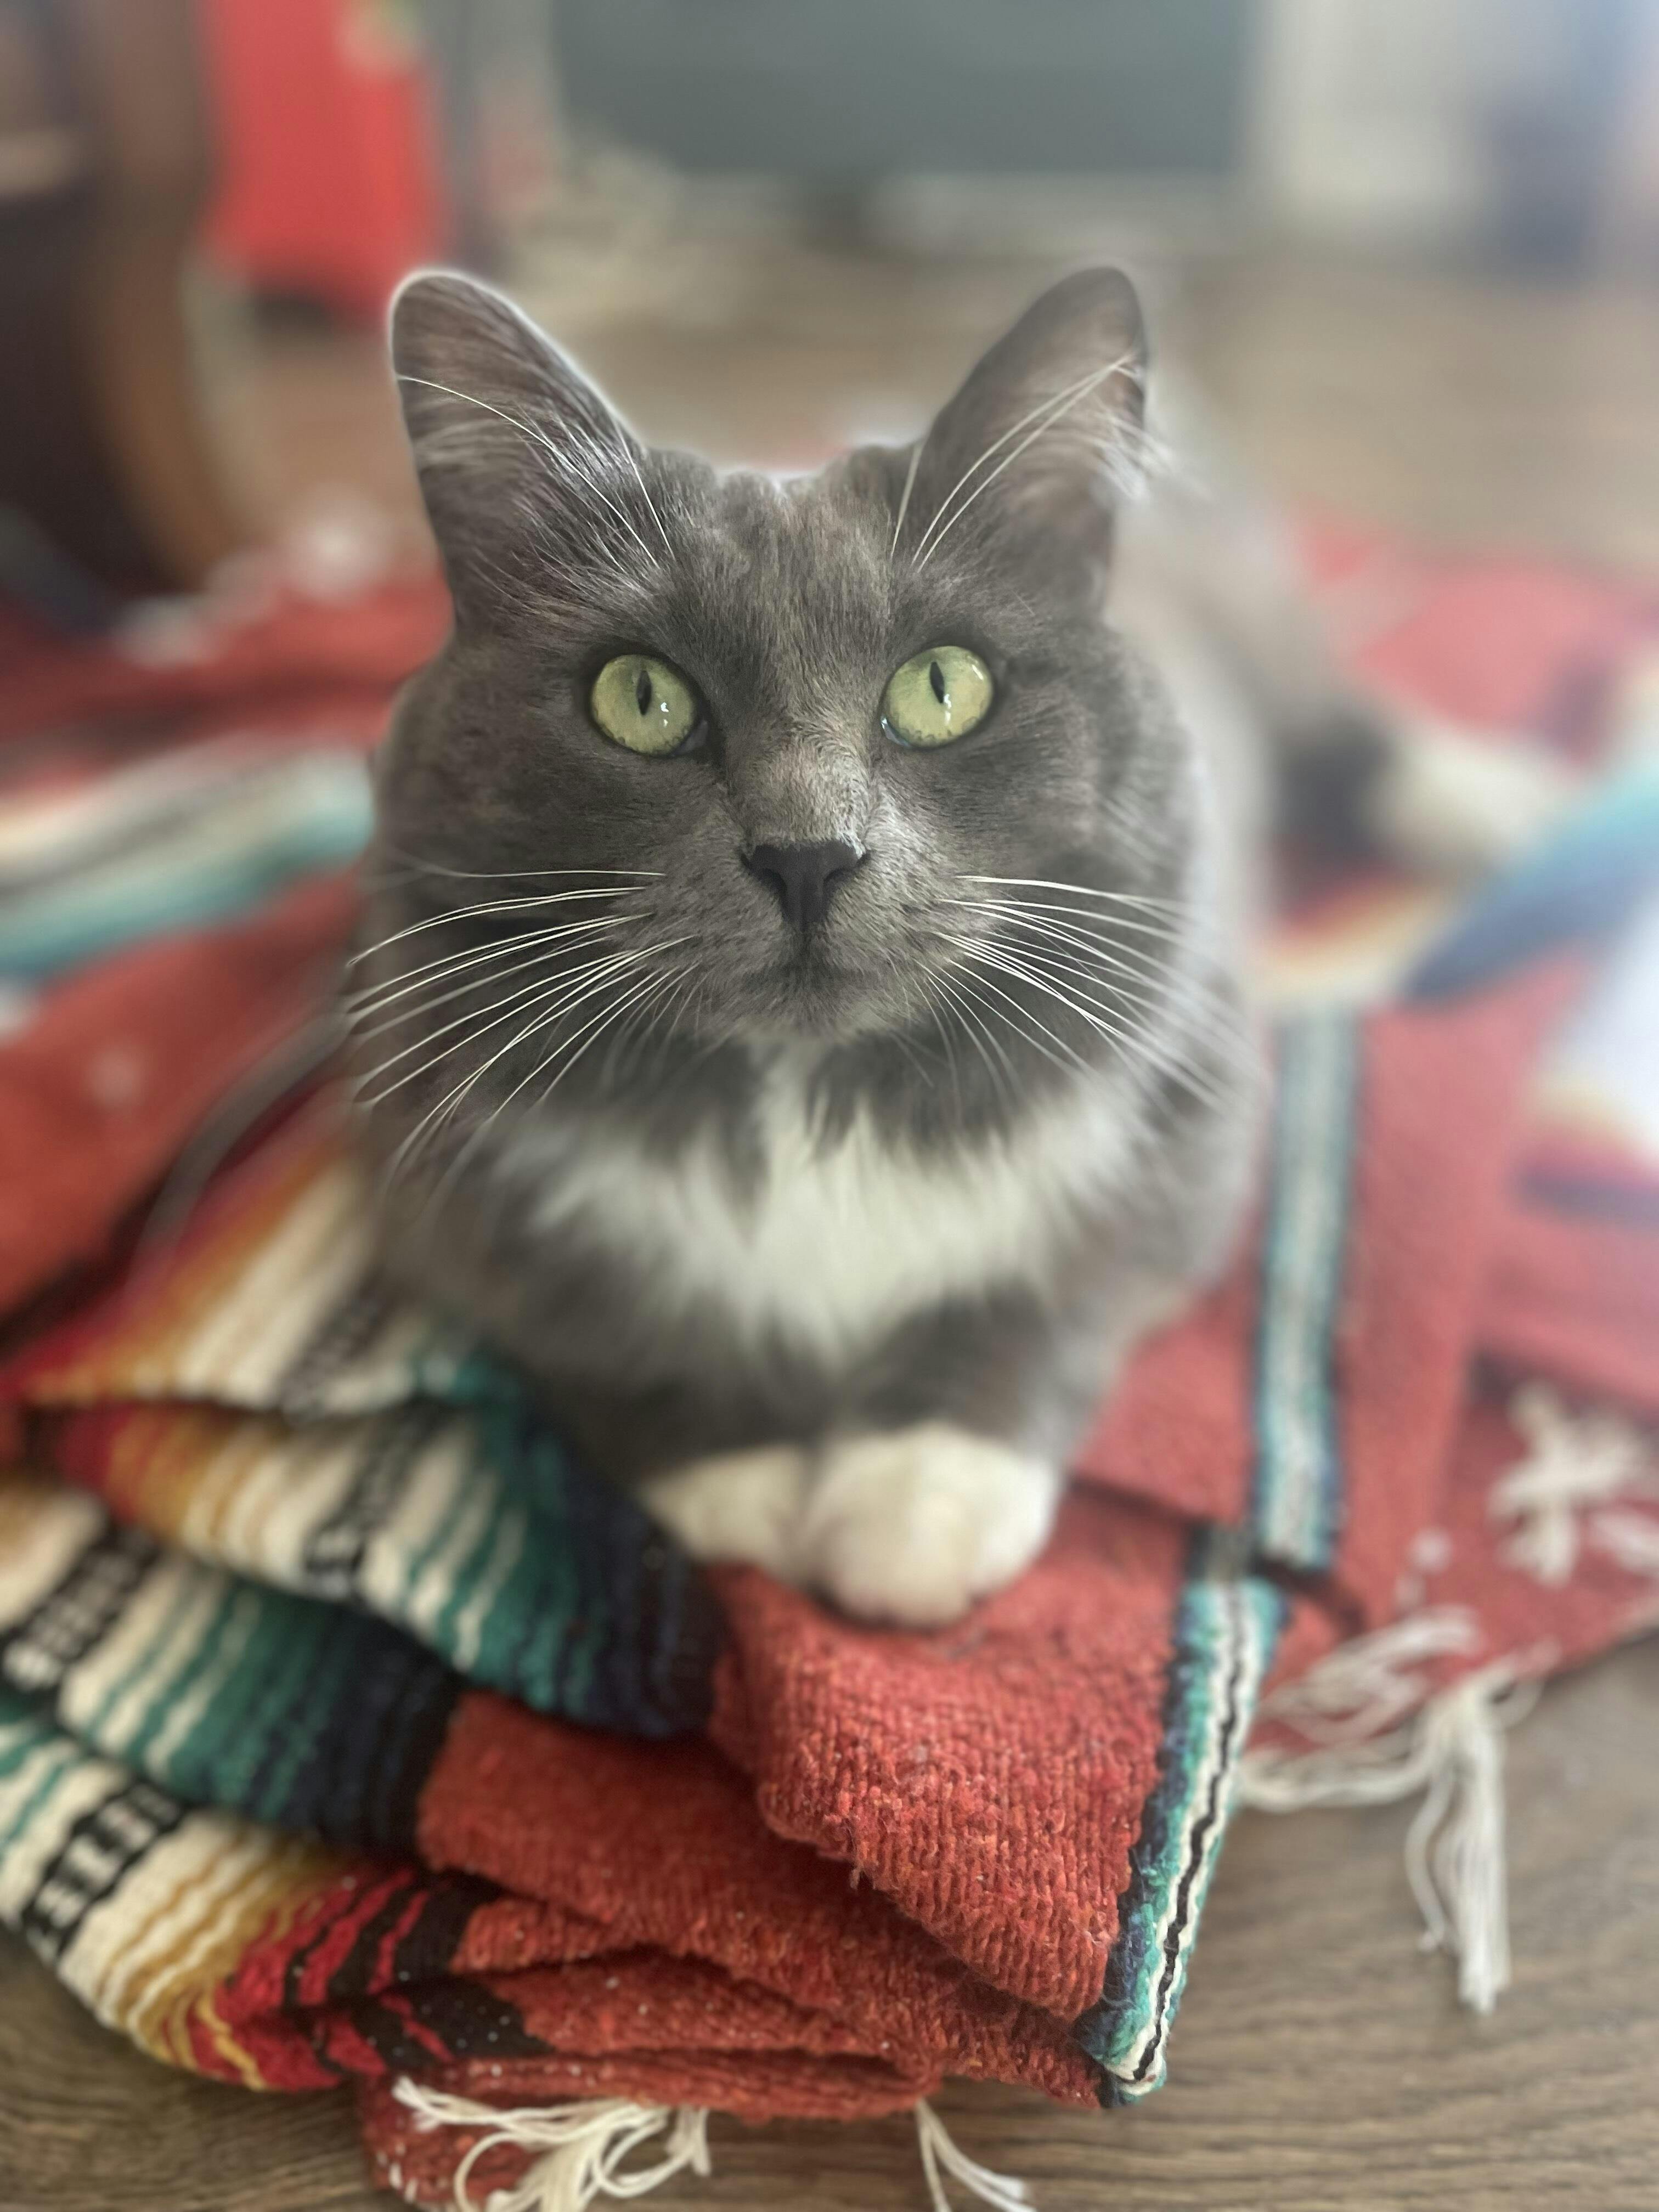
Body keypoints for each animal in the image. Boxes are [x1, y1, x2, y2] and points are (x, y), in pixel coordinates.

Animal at [345, 266, 1564, 1628]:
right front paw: (746, 1480)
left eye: (941, 688)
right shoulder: (438, 1183)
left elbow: (1035, 1296)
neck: (808, 1095)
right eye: (641, 699)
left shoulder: (1183, 1138)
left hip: (1262, 640)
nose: (808, 855)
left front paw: (913, 1508)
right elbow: (607, 1328)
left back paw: (1501, 807)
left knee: (1339, 720)